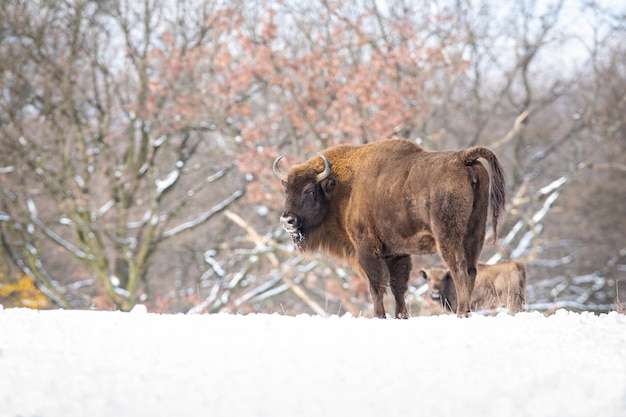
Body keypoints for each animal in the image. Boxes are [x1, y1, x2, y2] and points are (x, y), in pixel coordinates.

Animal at [272, 138, 502, 316]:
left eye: (311, 191)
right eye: (287, 191)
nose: (287, 221)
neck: (345, 187)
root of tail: (462, 158)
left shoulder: (367, 249)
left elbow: (376, 286)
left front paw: (379, 316)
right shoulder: (396, 253)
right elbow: (398, 286)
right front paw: (401, 315)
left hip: (448, 235)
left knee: (458, 267)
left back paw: (462, 312)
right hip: (476, 232)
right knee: (471, 269)